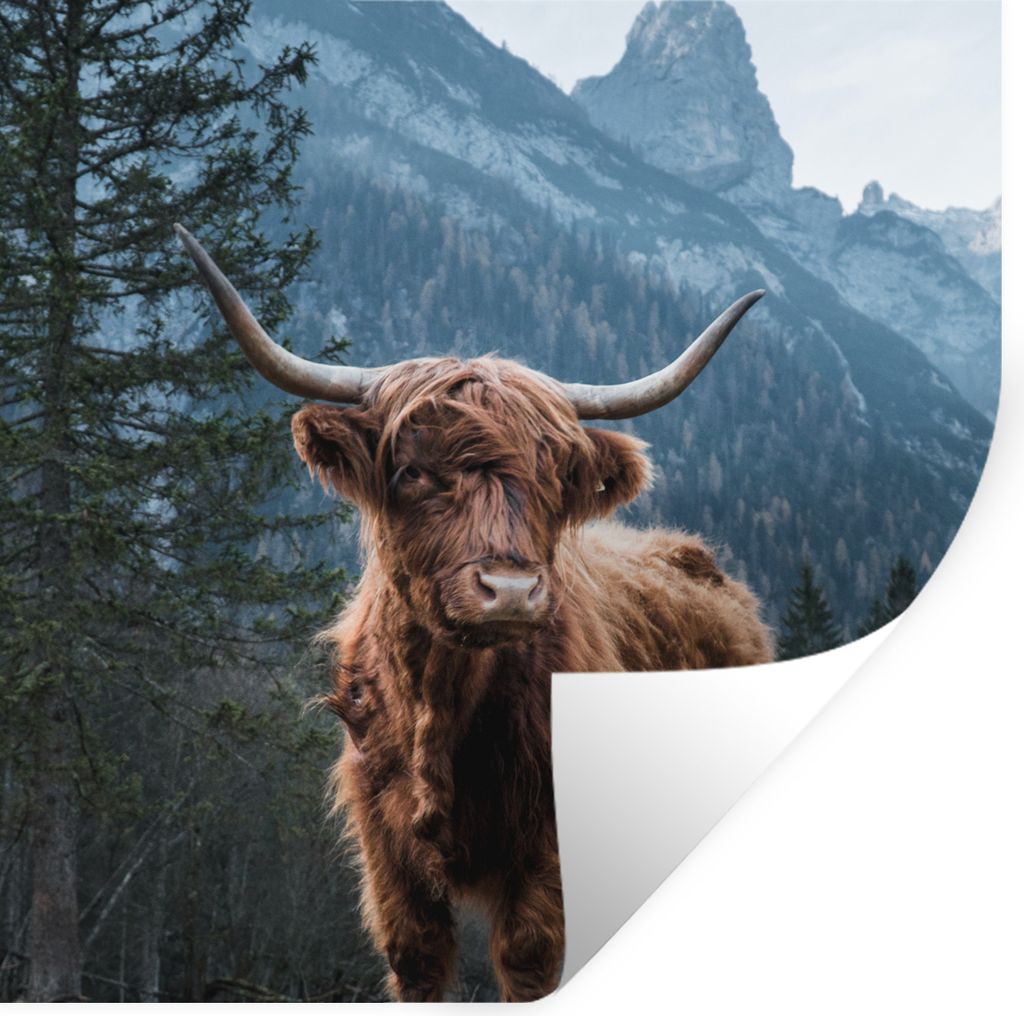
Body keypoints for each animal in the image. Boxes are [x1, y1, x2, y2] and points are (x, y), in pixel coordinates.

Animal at [175, 224, 774, 1002]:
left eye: (554, 477)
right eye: (411, 472)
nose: (510, 590)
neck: (441, 706)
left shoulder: (546, 859)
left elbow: (530, 963)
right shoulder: (391, 864)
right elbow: (420, 961)